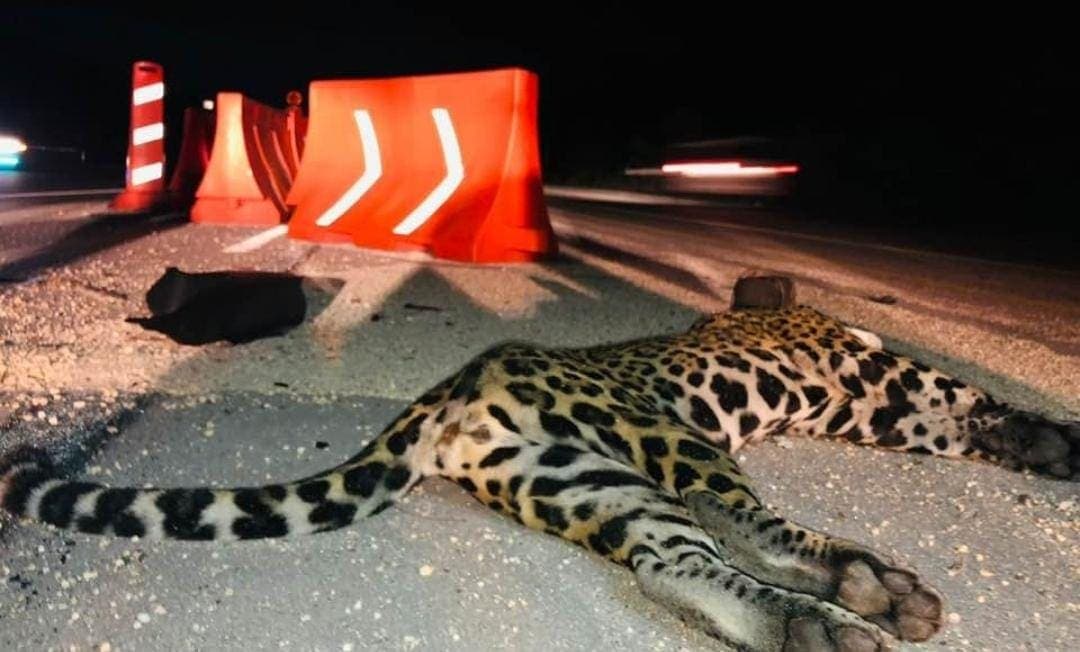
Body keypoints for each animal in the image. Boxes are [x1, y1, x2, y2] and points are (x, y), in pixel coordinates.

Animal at [1, 303, 1077, 651]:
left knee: (670, 562)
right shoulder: (886, 379)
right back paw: (860, 594)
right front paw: (1054, 439)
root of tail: (448, 396)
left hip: (580, 478)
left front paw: (1036, 444)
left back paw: (814, 622)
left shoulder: (884, 401)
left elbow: (965, 421)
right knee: (736, 516)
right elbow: (974, 403)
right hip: (654, 434)